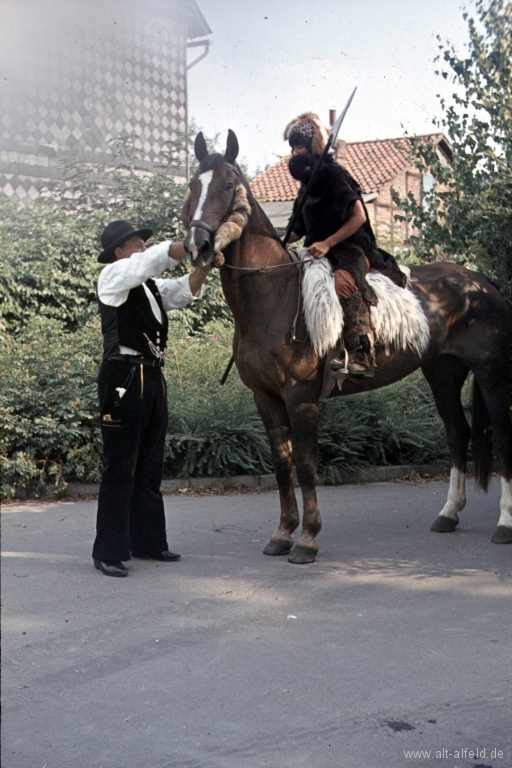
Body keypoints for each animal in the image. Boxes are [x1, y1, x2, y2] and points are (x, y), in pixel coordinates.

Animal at [183, 134, 512, 564]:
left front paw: (307, 538)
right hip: (442, 372)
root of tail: (480, 282)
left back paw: (504, 523)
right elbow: (282, 465)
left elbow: (306, 464)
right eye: (193, 185)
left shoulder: (301, 398)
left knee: (502, 436)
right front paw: (282, 533)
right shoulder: (265, 398)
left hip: (491, 373)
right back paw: (448, 514)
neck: (275, 294)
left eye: (227, 184)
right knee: (458, 433)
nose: (199, 245)